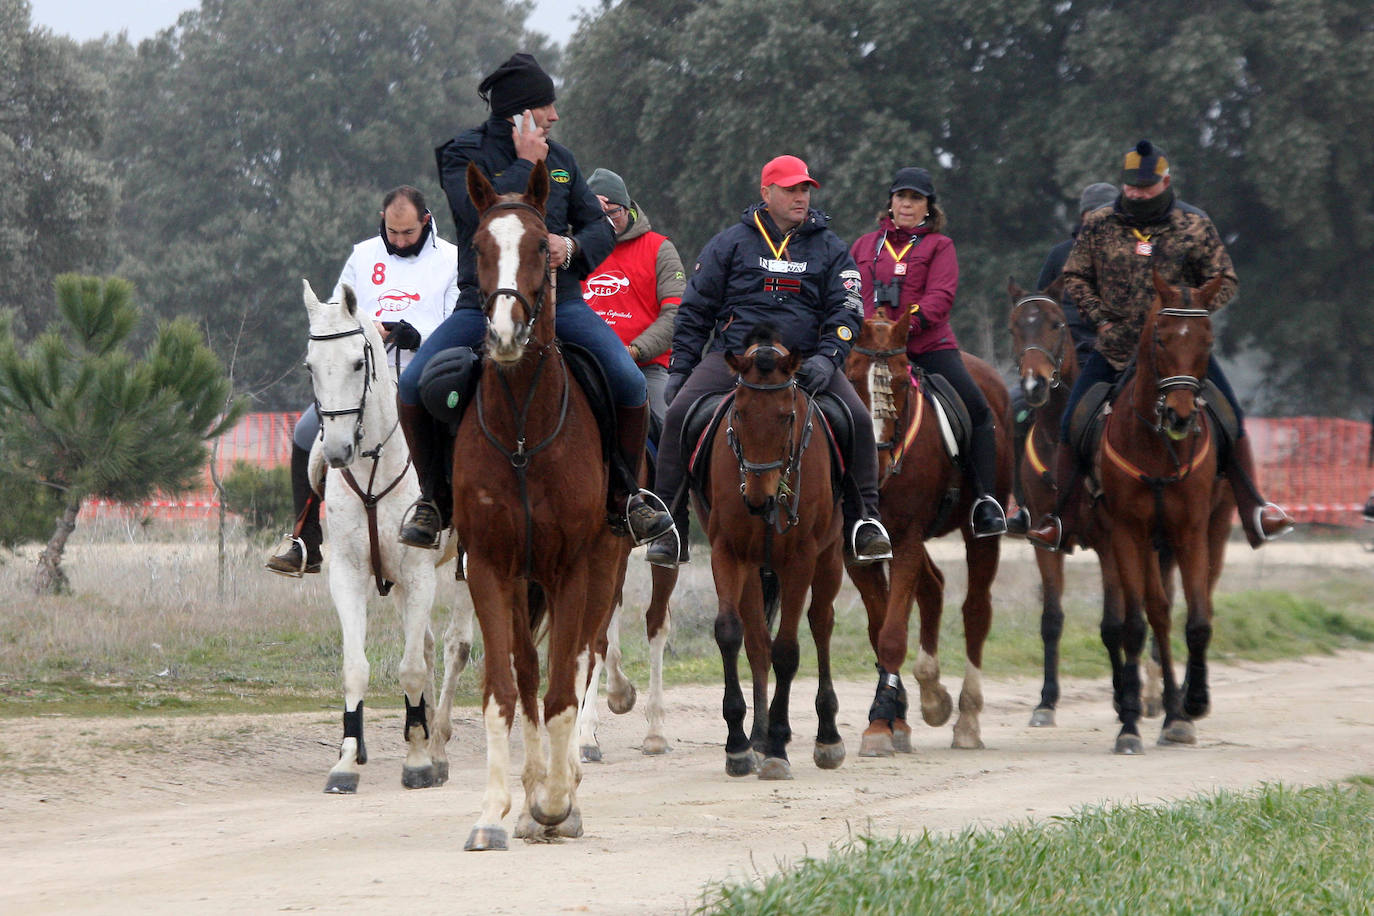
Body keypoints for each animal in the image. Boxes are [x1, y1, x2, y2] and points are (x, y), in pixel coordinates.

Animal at [300, 280, 472, 796]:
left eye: (358, 362)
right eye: (311, 366)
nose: (337, 451)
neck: (374, 468)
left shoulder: (418, 574)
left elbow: (412, 666)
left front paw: (416, 761)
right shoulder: (350, 575)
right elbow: (355, 668)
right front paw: (346, 761)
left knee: (456, 647)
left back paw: (438, 745)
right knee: (434, 646)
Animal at [447, 159, 629, 851]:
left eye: (537, 249)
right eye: (477, 246)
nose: (502, 334)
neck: (524, 426)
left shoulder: (572, 568)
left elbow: (561, 690)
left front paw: (555, 803)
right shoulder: (491, 568)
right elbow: (506, 688)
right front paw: (496, 810)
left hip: (604, 569)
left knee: (579, 661)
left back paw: (562, 787)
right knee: (528, 671)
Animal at [697, 322, 846, 780]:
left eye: (787, 416)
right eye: (739, 413)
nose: (758, 500)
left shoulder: (800, 559)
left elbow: (788, 650)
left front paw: (779, 745)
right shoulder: (727, 552)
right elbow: (731, 633)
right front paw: (739, 745)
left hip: (829, 559)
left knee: (821, 624)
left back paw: (827, 736)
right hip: (753, 570)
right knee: (757, 640)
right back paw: (758, 737)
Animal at [840, 311, 1016, 758]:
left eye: (903, 382)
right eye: (851, 376)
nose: (877, 461)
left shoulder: (906, 540)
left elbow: (891, 635)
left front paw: (883, 724)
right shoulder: (856, 550)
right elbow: (879, 628)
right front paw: (890, 715)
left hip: (979, 535)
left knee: (976, 611)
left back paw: (967, 720)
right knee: (933, 587)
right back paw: (933, 697)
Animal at [1093, 269, 1236, 758]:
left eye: (1208, 339)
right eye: (1160, 337)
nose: (1179, 415)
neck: (1156, 447)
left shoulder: (1190, 532)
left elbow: (1198, 622)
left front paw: (1194, 703)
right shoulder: (1125, 533)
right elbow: (1135, 625)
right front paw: (1129, 725)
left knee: (1183, 607)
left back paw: (1179, 712)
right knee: (1154, 613)